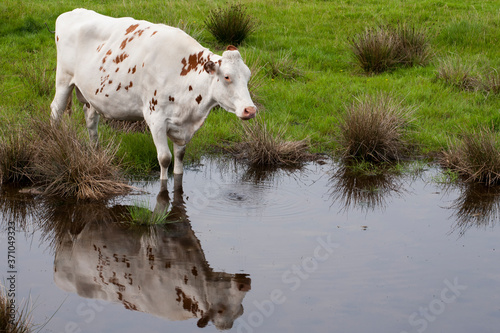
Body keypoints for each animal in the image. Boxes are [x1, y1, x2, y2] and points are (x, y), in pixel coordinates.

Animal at [50, 8, 256, 179]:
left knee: (91, 119)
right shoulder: (155, 118)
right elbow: (165, 159)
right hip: (63, 79)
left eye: (248, 76)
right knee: (56, 110)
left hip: (92, 95)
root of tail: (72, 12)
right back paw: (54, 140)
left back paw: (95, 150)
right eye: (227, 77)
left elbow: (180, 158)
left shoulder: (182, 126)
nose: (250, 110)